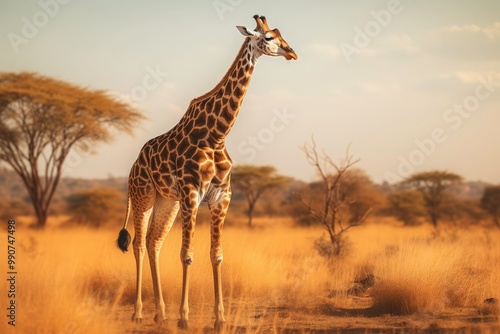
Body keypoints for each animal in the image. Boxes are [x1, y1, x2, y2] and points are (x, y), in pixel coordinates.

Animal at [117, 15, 296, 328]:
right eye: (269, 38)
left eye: (280, 33)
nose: (292, 53)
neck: (217, 135)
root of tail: (134, 165)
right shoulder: (191, 194)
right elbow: (187, 255)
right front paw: (184, 318)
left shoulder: (221, 197)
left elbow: (217, 256)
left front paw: (219, 319)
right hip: (143, 196)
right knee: (138, 244)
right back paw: (139, 313)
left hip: (167, 202)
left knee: (153, 243)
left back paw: (160, 312)